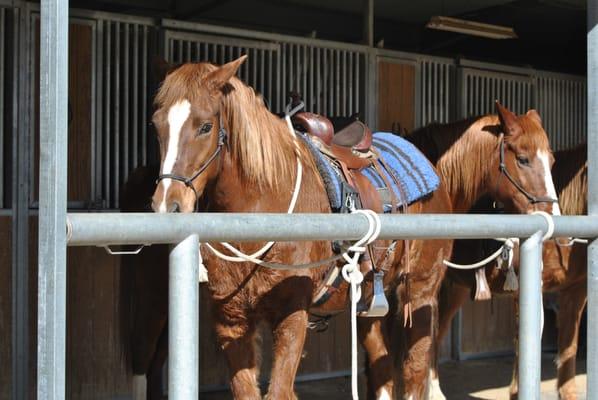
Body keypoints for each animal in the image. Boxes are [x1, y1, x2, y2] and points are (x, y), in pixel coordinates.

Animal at [123, 55, 454, 400]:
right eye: (156, 124)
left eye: (205, 126)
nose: (167, 204)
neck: (260, 211)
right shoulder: (230, 318)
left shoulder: (292, 314)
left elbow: (279, 390)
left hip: (420, 289)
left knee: (415, 368)